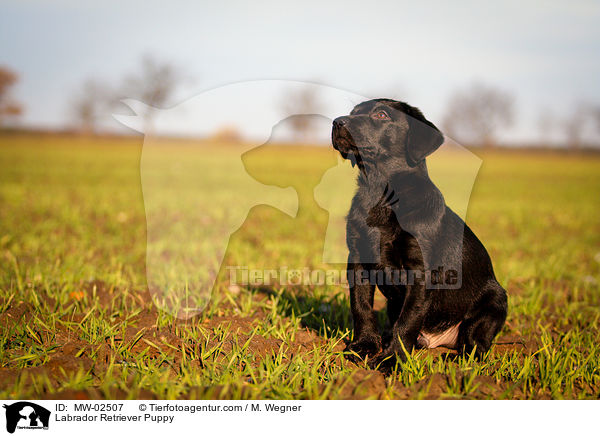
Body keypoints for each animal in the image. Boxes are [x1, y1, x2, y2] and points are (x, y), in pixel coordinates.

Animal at [330, 99, 508, 372]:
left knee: (476, 343)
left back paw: (460, 359)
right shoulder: (358, 258)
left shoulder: (420, 271)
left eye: (381, 115)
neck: (381, 196)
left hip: (495, 302)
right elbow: (361, 306)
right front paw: (364, 345)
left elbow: (408, 320)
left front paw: (392, 360)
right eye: (352, 112)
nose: (337, 122)